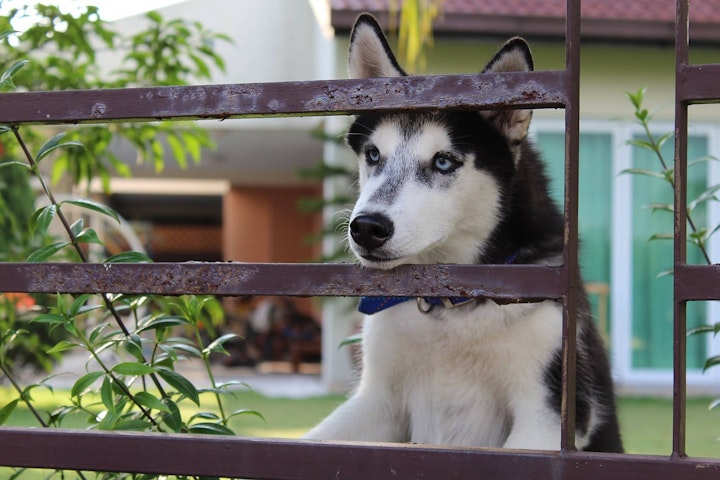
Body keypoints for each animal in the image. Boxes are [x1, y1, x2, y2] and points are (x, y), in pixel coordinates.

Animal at [306, 13, 620, 452]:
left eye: (443, 161)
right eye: (373, 154)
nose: (367, 228)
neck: (448, 305)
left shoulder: (545, 416)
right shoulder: (376, 403)